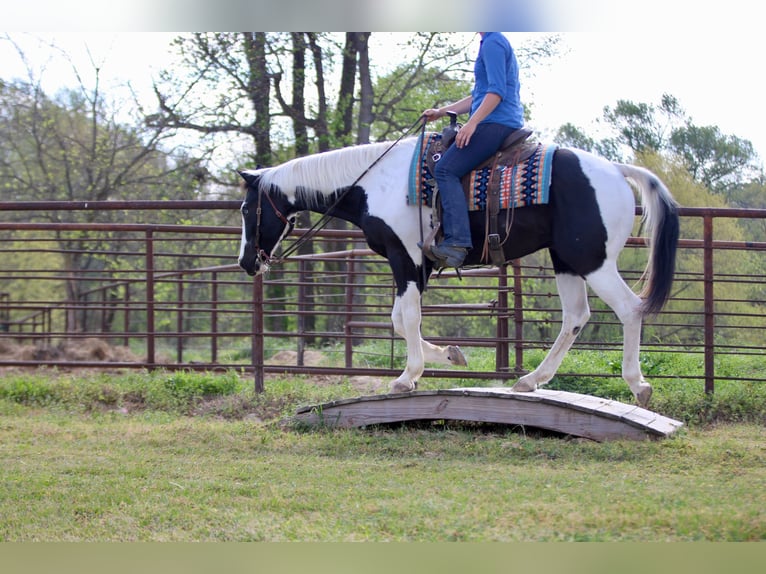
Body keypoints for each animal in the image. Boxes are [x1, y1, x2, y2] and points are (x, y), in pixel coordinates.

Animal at [237, 135, 679, 407]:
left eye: (244, 209)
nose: (246, 262)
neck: (374, 182)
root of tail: (618, 170)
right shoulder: (417, 265)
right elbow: (399, 321)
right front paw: (449, 355)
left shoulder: (405, 258)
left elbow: (407, 317)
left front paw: (407, 376)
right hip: (567, 260)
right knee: (575, 316)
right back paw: (530, 380)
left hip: (592, 260)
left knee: (629, 308)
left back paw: (638, 384)